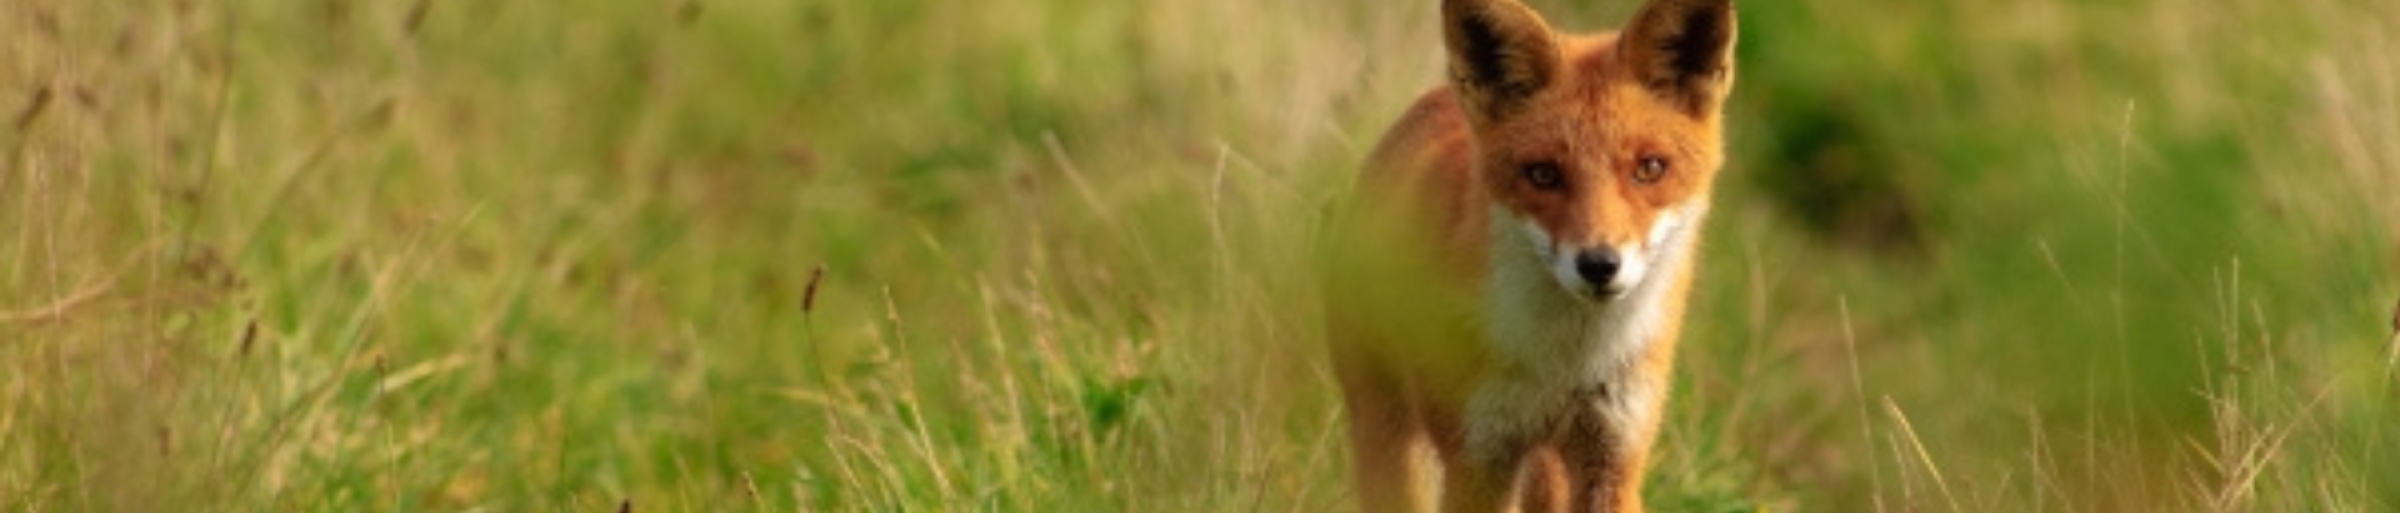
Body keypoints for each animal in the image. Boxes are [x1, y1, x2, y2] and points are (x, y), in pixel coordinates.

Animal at [1321, 0, 1737, 511]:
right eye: (1543, 174)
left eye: (1650, 168)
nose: (1599, 265)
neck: (1568, 363)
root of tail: (1432, 99)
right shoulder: (1478, 457)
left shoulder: (1615, 452)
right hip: (1391, 433)